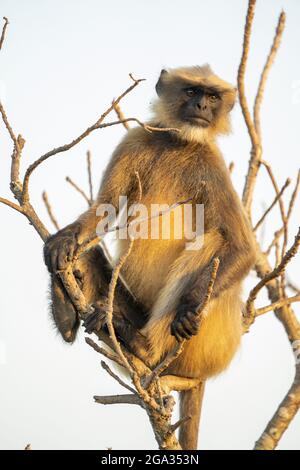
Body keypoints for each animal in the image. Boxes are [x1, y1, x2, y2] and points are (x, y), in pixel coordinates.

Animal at [44, 64, 255, 450]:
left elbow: (243, 248)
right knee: (88, 254)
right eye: (191, 91)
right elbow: (103, 210)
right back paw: (70, 312)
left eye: (212, 96)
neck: (178, 141)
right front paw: (64, 240)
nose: (202, 106)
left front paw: (188, 307)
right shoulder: (136, 140)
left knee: (212, 240)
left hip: (207, 341)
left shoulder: (212, 165)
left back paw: (144, 345)